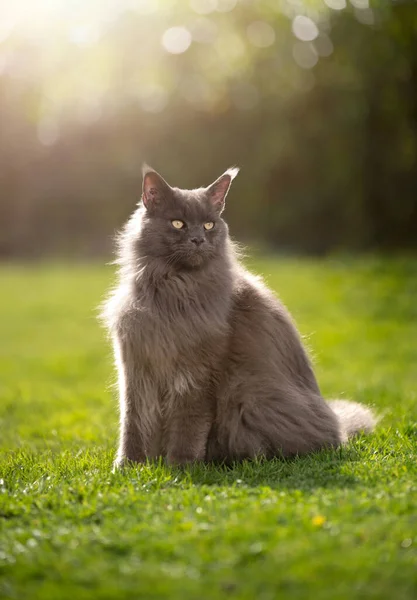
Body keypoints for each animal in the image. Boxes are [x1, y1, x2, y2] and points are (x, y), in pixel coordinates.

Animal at [101, 165, 374, 468]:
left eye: (209, 225)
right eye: (178, 223)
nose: (198, 239)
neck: (174, 289)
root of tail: (336, 424)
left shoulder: (198, 375)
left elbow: (187, 425)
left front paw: (181, 466)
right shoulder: (135, 368)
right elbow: (133, 424)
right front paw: (128, 467)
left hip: (251, 395)